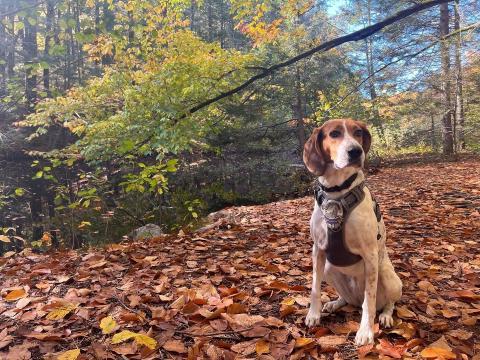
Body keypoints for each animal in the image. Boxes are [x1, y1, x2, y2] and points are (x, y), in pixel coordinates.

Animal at [304, 118, 402, 346]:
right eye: (334, 133)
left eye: (358, 132)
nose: (356, 151)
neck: (337, 193)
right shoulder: (318, 251)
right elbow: (314, 289)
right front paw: (313, 315)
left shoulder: (370, 254)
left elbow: (370, 300)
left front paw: (365, 331)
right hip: (329, 269)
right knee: (347, 299)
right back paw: (335, 303)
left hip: (388, 276)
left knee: (386, 302)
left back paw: (385, 315)